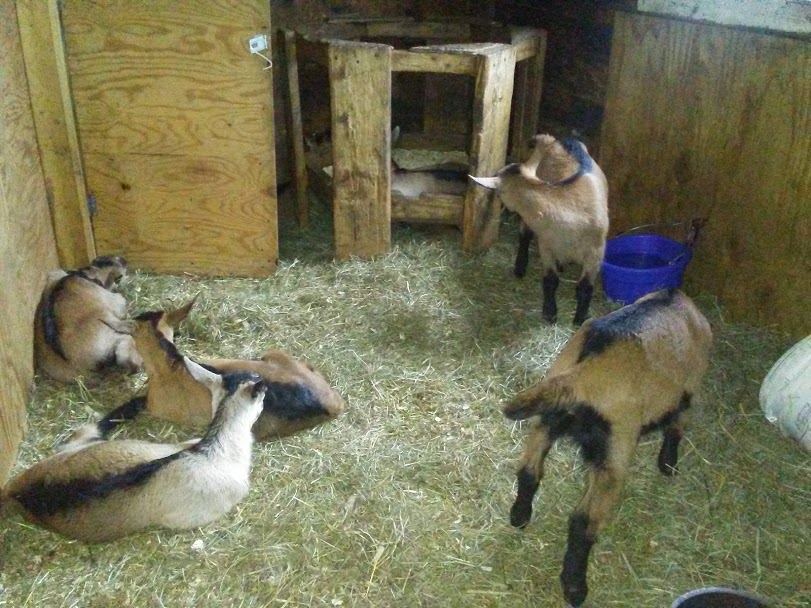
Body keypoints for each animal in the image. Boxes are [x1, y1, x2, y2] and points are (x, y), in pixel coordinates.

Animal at [470, 134, 609, 326]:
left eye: (500, 192)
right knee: (524, 235)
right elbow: (550, 280)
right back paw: (520, 267)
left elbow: (585, 287)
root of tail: (562, 140)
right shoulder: (546, 245)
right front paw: (550, 313)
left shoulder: (596, 252)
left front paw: (579, 319)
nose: (499, 203)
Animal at [502, 288, 712, 607]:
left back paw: (520, 516)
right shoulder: (689, 389)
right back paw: (575, 587)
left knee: (529, 470)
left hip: (546, 420)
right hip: (615, 449)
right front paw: (668, 464)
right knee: (583, 520)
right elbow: (677, 426)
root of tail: (581, 373)